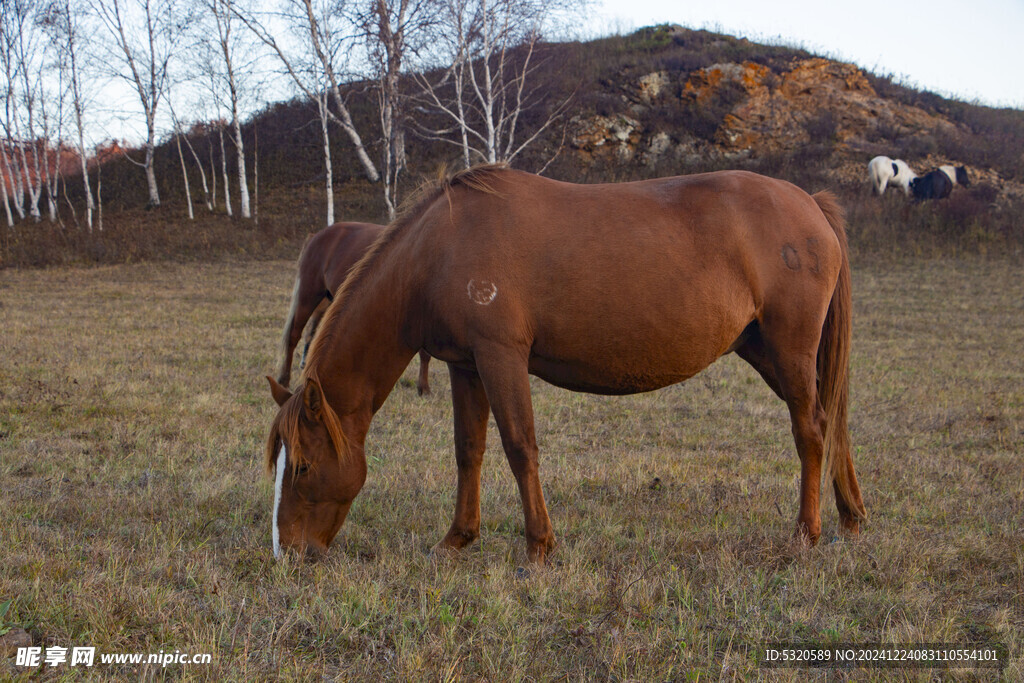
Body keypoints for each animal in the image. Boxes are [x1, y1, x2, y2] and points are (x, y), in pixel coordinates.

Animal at [274, 222, 430, 395]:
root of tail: (316, 236)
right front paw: (423, 388)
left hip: (327, 300)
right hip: (308, 296)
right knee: (294, 335)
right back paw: (284, 379)